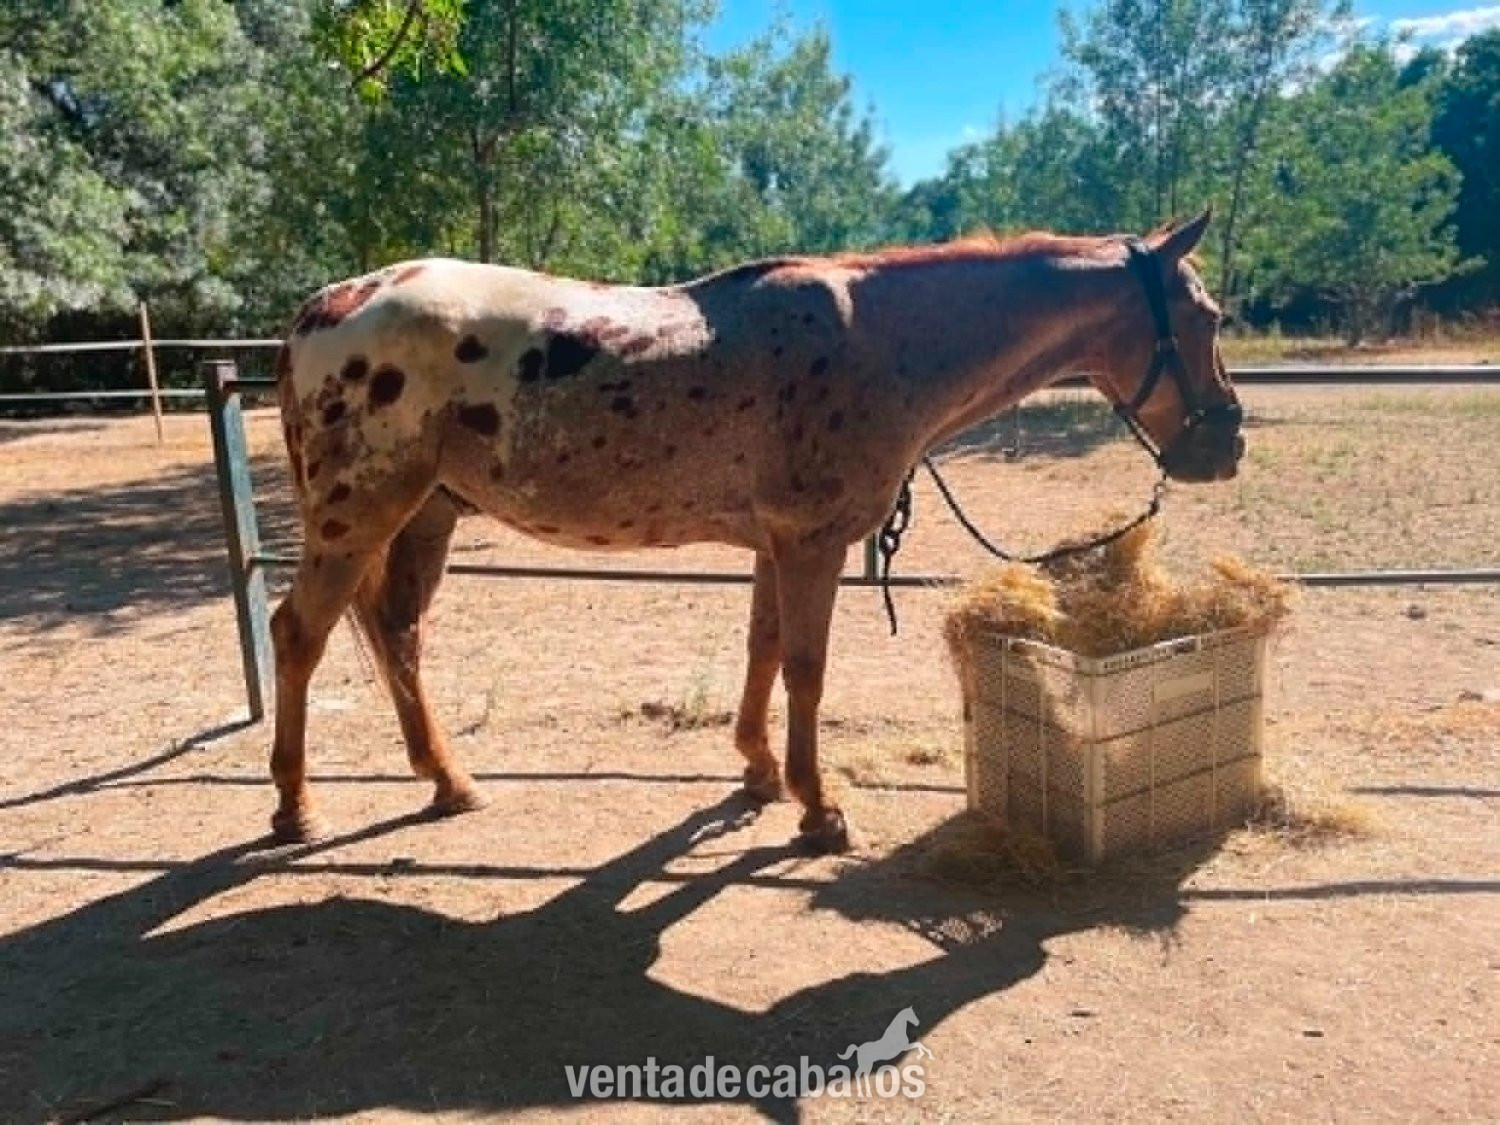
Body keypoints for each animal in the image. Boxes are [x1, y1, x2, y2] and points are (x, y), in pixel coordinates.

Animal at [267, 208, 1243, 853]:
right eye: (1207, 317)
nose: (1227, 442)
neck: (877, 343)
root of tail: (325, 307)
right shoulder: (813, 543)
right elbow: (807, 670)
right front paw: (818, 805)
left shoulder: (777, 545)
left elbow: (764, 651)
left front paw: (759, 771)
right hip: (358, 515)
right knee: (299, 635)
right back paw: (296, 806)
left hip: (425, 514)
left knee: (398, 634)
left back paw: (449, 781)